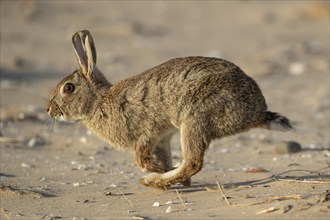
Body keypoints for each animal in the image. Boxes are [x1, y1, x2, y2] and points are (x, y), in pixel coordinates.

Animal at [45, 30, 292, 190]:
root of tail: (257, 113)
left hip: (195, 118)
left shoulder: (145, 133)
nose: (48, 109)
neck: (98, 102)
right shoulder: (162, 139)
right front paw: (169, 173)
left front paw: (156, 170)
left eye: (68, 88)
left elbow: (141, 159)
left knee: (193, 162)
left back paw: (153, 181)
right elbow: (162, 157)